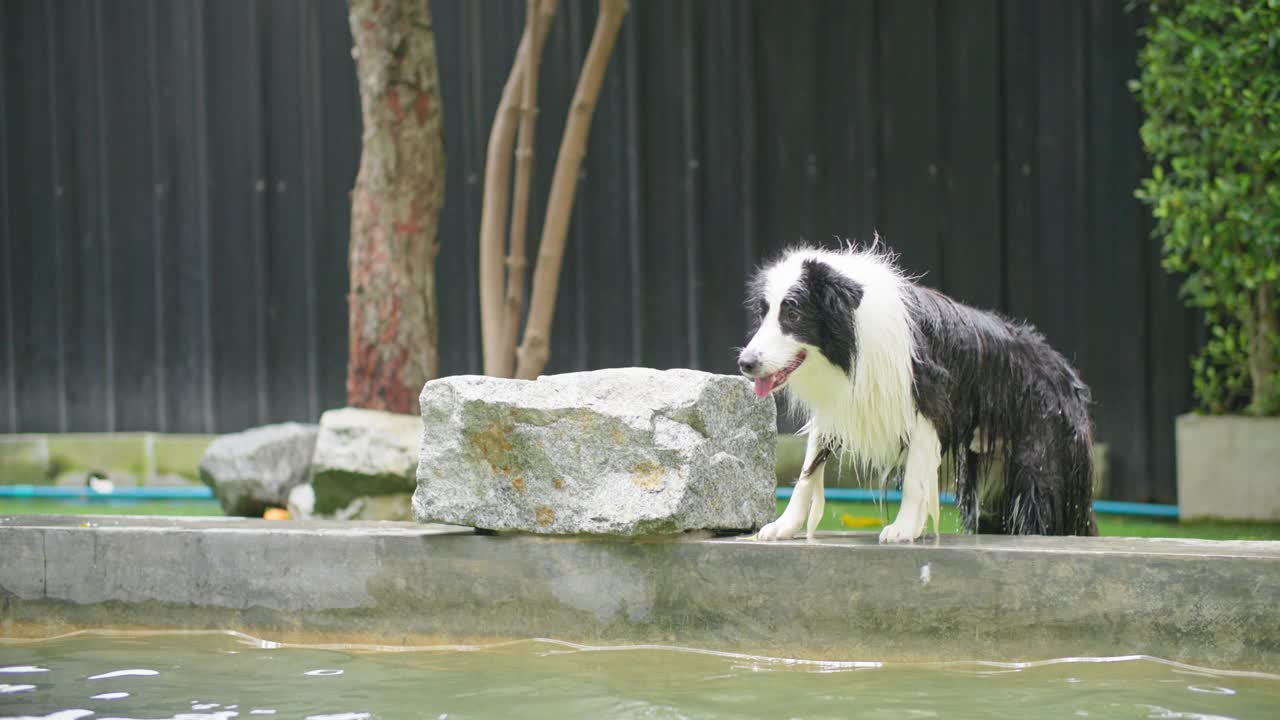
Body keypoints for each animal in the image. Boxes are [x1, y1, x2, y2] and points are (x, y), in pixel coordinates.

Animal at [742, 240, 1100, 538]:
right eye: (763, 313)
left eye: (793, 313)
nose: (745, 363)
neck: (855, 335)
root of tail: (1065, 371)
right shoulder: (838, 401)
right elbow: (807, 472)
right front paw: (784, 525)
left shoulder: (929, 404)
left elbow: (915, 477)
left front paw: (903, 530)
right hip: (994, 489)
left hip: (1039, 472)